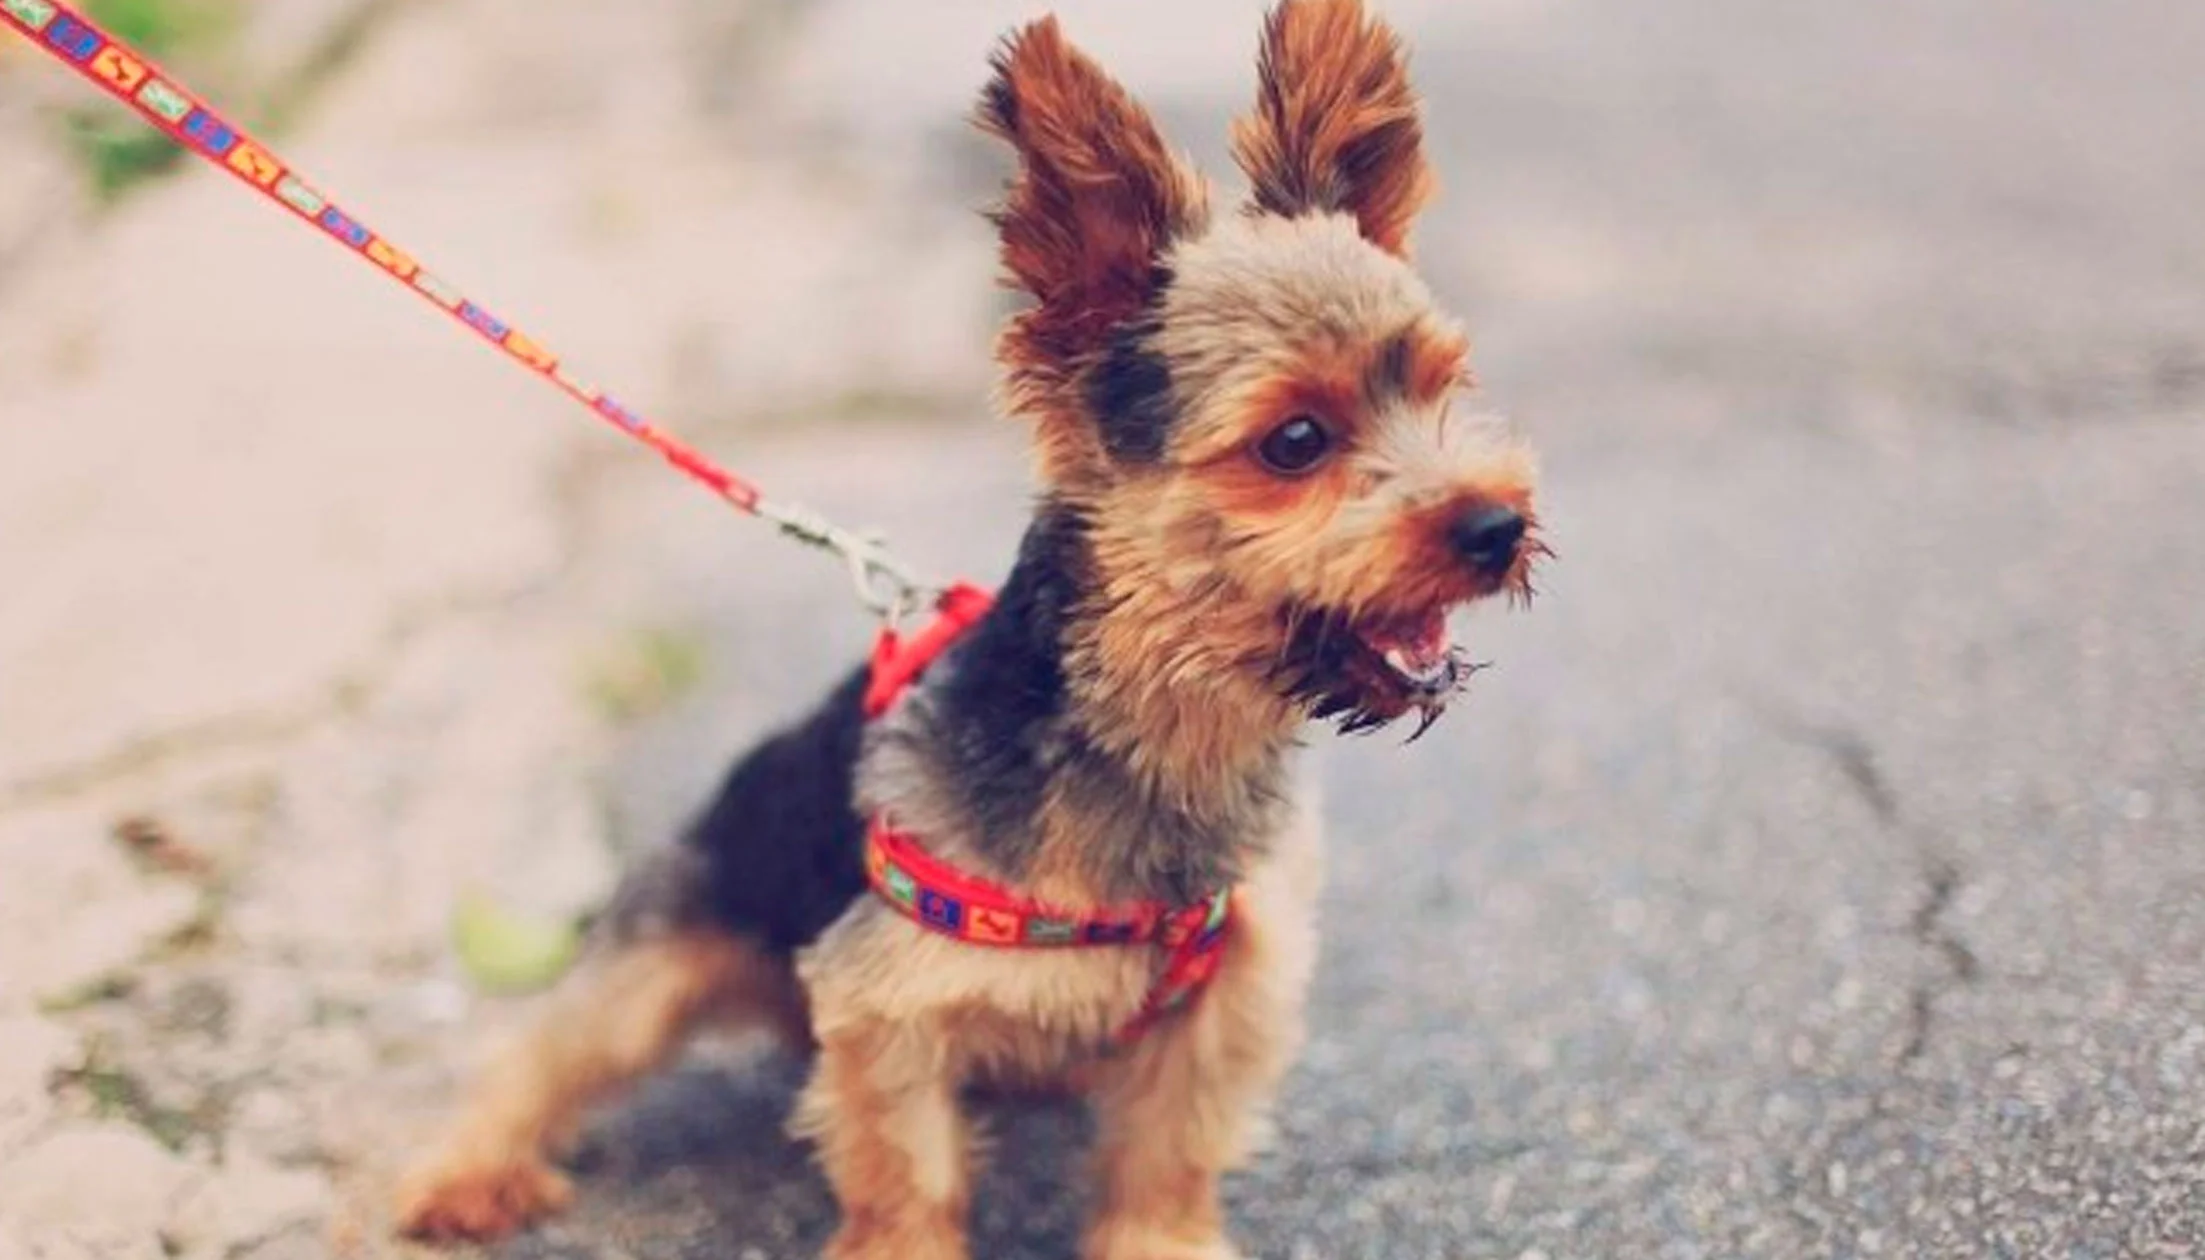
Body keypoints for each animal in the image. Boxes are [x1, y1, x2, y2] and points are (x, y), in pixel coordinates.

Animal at [396, 2, 1534, 1260]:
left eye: (1442, 388)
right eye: (1295, 441)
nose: (1498, 526)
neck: (1163, 736)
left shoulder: (1232, 991)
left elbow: (1169, 1153)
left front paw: (1160, 1238)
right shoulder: (886, 1006)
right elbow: (909, 1175)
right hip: (668, 942)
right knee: (549, 1050)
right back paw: (464, 1173)